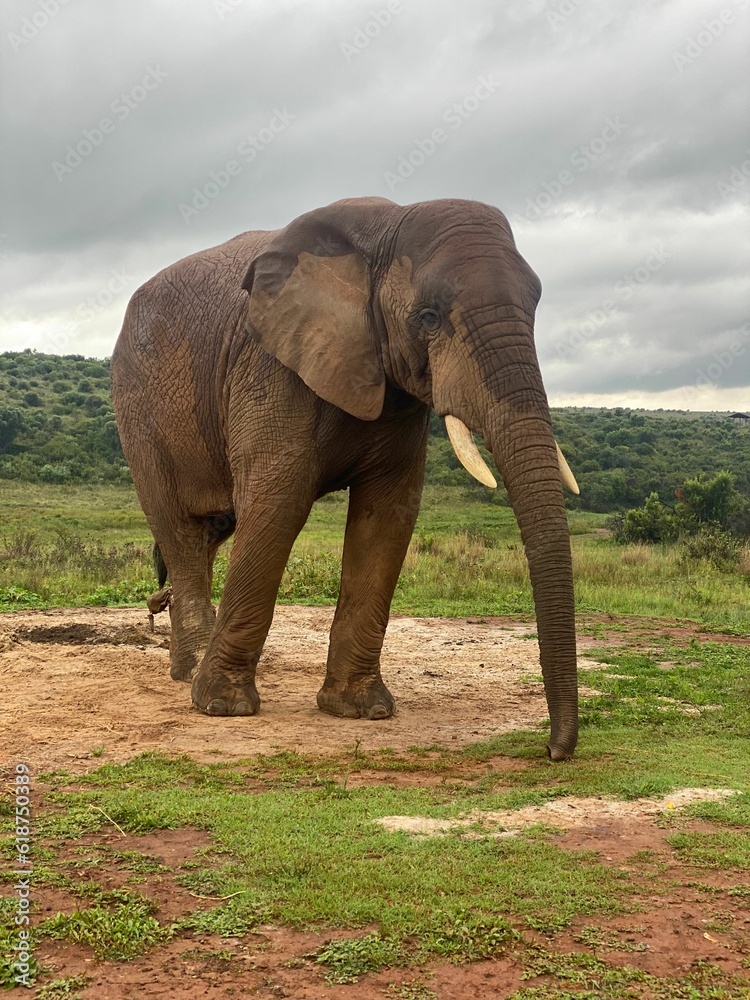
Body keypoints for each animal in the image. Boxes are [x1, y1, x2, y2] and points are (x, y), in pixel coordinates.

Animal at [111, 196, 580, 760]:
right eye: (428, 317)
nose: (554, 751)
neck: (382, 234)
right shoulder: (270, 365)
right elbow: (278, 501)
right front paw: (223, 707)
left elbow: (388, 515)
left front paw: (361, 711)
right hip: (138, 408)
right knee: (178, 527)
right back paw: (192, 674)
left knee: (211, 530)